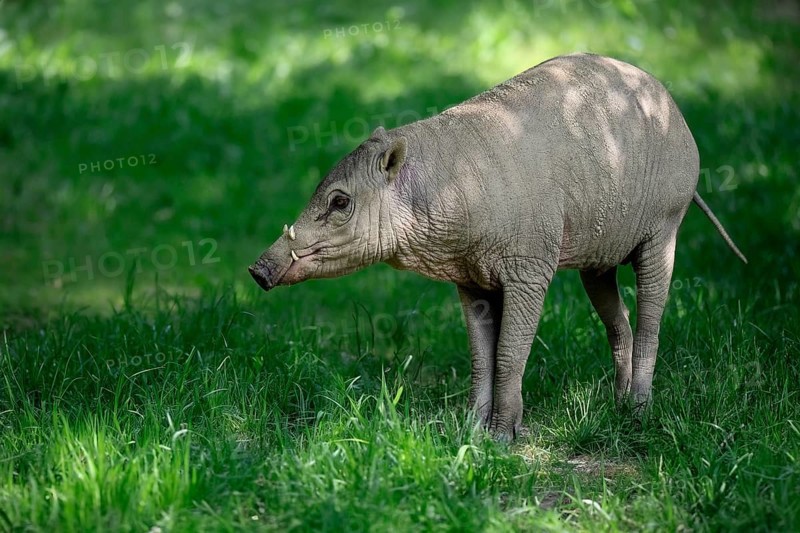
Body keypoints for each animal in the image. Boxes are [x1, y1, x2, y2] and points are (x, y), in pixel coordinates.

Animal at [249, 53, 747, 441]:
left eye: (340, 202)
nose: (258, 270)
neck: (450, 190)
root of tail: (678, 114)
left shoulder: (530, 268)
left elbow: (509, 352)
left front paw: (504, 434)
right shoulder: (471, 279)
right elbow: (480, 356)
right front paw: (471, 430)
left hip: (664, 228)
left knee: (649, 323)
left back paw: (640, 410)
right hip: (598, 258)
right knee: (618, 323)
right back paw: (618, 402)